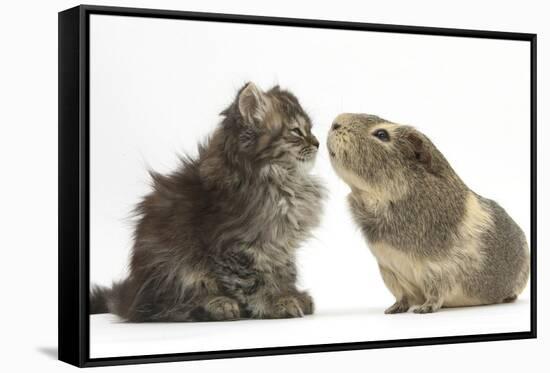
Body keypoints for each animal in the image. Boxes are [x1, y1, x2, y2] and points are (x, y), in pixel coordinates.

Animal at [88, 83, 326, 322]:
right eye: (297, 131)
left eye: (310, 130)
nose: (317, 143)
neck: (281, 180)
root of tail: (130, 298)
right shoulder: (235, 246)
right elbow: (253, 282)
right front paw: (274, 302)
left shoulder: (280, 247)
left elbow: (284, 273)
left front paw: (292, 294)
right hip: (174, 270)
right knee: (171, 307)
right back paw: (218, 304)